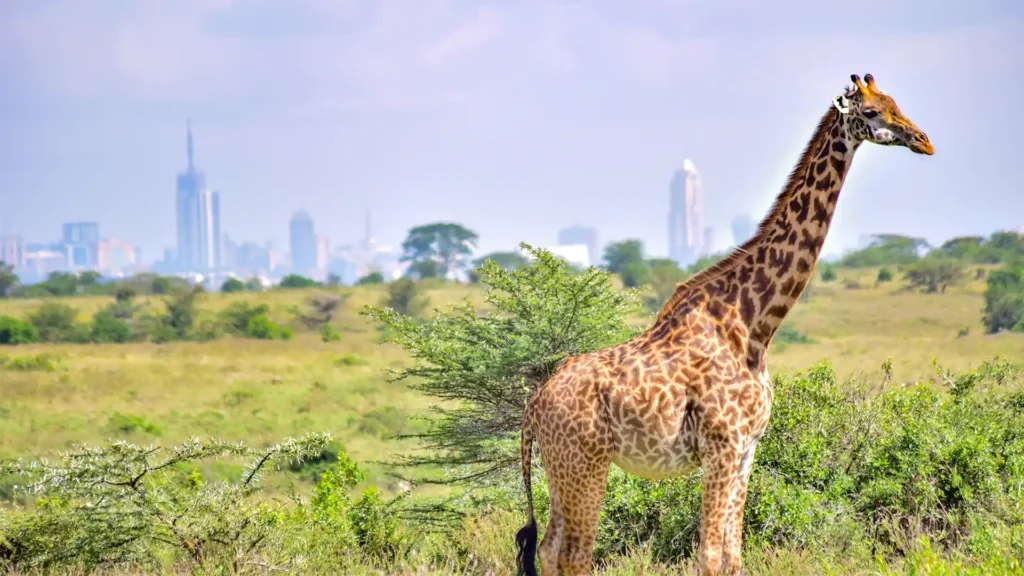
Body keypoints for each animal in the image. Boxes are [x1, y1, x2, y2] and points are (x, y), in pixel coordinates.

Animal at [516, 72, 933, 573]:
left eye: (895, 103)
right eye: (871, 112)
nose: (924, 141)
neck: (754, 325)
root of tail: (534, 406)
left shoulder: (747, 449)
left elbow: (733, 555)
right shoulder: (722, 445)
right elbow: (711, 555)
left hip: (561, 469)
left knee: (549, 548)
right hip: (586, 463)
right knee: (576, 553)